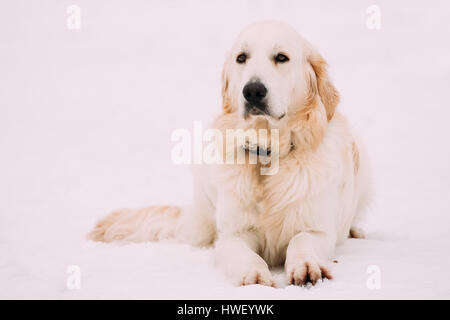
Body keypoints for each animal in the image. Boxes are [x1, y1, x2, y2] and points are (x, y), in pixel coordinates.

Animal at [87, 20, 370, 288]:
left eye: (281, 57)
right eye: (241, 58)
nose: (253, 91)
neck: (267, 153)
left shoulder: (317, 230)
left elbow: (301, 241)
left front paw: (306, 266)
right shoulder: (232, 235)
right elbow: (245, 254)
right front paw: (253, 275)